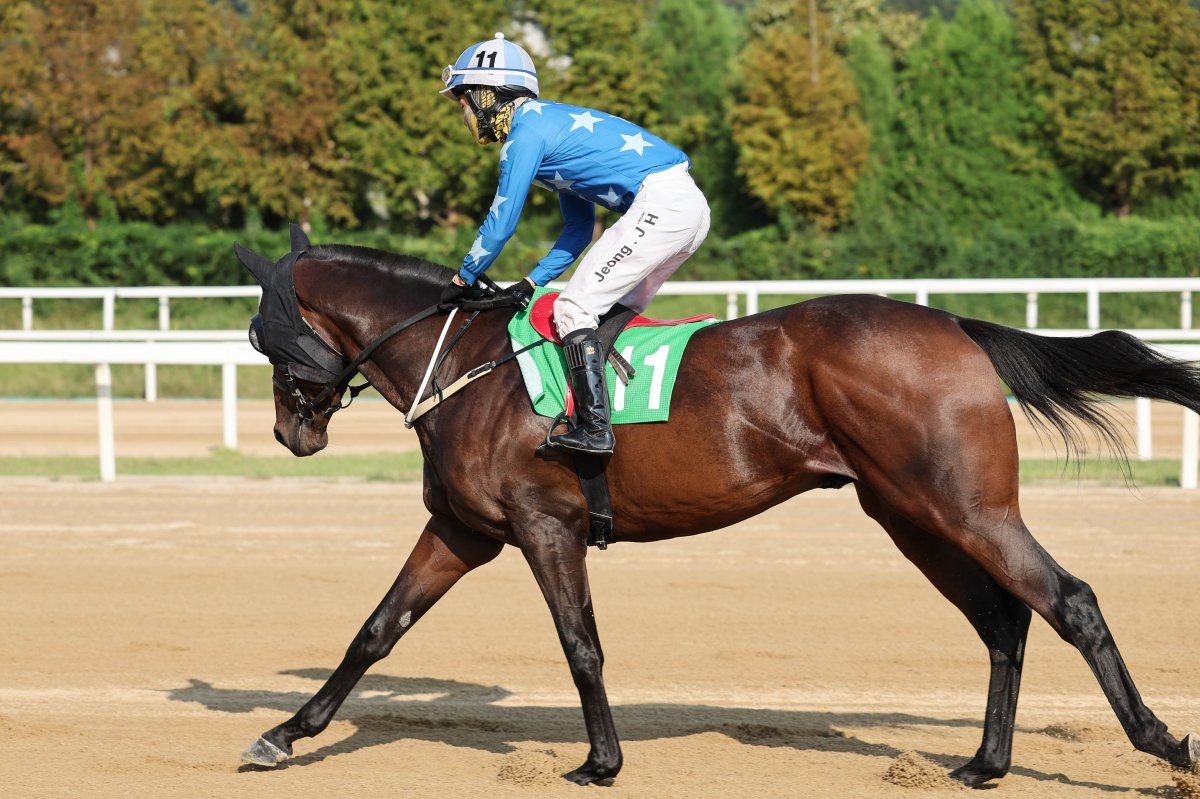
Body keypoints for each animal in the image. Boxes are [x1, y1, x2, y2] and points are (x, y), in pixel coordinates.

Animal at [231, 230, 1200, 782]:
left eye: (263, 335)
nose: (289, 430)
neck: (469, 361)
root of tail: (956, 325)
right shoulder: (466, 530)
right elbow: (376, 629)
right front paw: (284, 734)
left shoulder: (547, 526)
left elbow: (580, 643)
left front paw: (601, 761)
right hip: (911, 515)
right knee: (1004, 618)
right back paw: (987, 761)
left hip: (965, 505)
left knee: (1069, 599)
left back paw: (1161, 742)